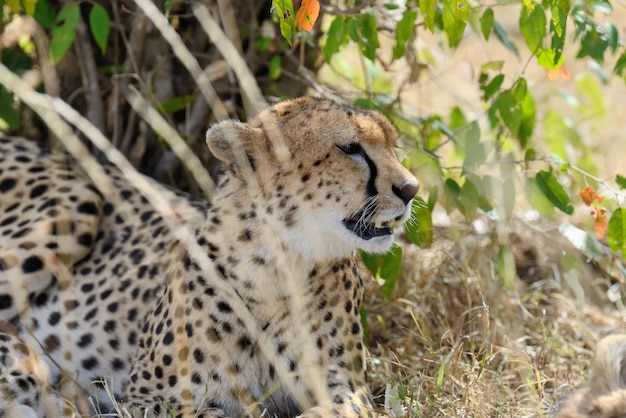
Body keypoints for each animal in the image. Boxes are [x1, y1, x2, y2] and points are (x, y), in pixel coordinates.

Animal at [1, 96, 420, 416]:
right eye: (350, 148)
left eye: (393, 146)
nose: (410, 189)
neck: (277, 265)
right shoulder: (143, 399)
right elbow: (209, 412)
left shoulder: (346, 388)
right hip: (78, 199)